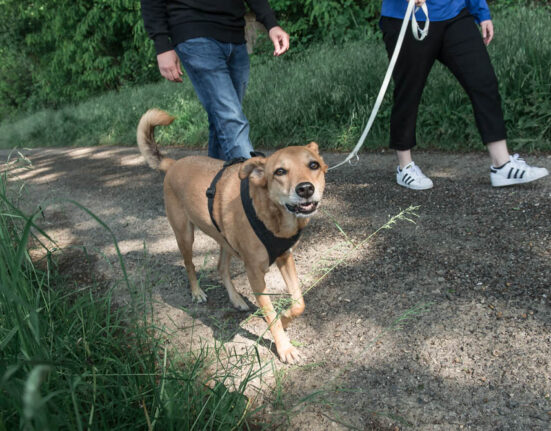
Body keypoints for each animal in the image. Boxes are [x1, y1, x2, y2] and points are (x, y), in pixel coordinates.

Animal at [137, 109, 328, 362]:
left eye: (313, 165)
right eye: (280, 171)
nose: (305, 189)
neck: (272, 216)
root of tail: (174, 164)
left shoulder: (285, 258)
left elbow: (299, 302)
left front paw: (286, 318)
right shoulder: (255, 274)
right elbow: (271, 314)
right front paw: (284, 347)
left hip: (225, 240)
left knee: (221, 268)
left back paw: (236, 298)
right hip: (185, 235)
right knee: (189, 265)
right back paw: (197, 292)